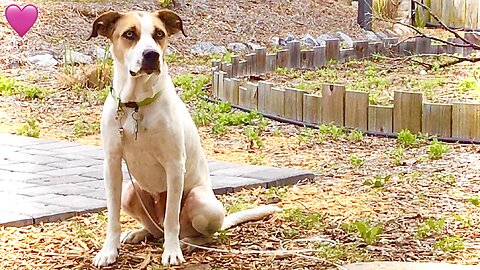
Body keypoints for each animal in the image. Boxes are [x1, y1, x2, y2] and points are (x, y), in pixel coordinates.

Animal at [88, 9, 280, 266]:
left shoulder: (174, 165)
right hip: (130, 191)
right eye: (129, 34)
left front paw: (172, 252)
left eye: (159, 34)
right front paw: (109, 250)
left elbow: (171, 218)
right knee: (155, 229)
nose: (152, 55)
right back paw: (140, 233)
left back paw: (187, 243)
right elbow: (112, 217)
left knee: (202, 234)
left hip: (202, 202)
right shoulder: (112, 164)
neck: (137, 104)